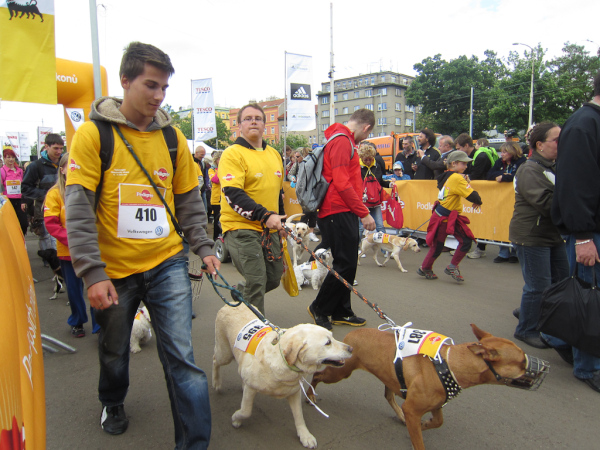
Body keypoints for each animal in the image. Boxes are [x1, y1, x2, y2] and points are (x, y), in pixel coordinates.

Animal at [212, 304, 353, 448]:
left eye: (332, 337)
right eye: (328, 342)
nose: (351, 348)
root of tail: (234, 303)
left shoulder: (295, 392)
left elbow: (299, 416)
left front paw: (305, 435)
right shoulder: (251, 389)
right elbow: (246, 411)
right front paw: (236, 419)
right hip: (225, 353)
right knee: (215, 360)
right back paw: (216, 382)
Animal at [309, 325, 549, 450]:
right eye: (521, 362)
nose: (543, 369)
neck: (450, 364)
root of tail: (352, 336)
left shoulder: (435, 405)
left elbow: (438, 422)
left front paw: (424, 425)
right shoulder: (414, 408)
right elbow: (420, 441)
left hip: (389, 376)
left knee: (389, 395)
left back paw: (400, 415)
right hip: (340, 373)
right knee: (318, 375)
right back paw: (310, 396)